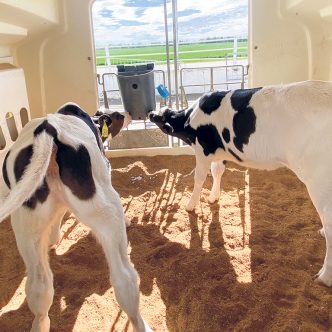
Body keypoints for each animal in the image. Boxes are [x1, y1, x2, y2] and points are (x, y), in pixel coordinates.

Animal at [150, 81, 332, 288]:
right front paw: (213, 197)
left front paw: (190, 205)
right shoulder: (220, 152)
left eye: (161, 115)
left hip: (319, 180)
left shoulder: (203, 150)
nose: (150, 113)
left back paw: (325, 276)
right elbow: (217, 171)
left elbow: (199, 178)